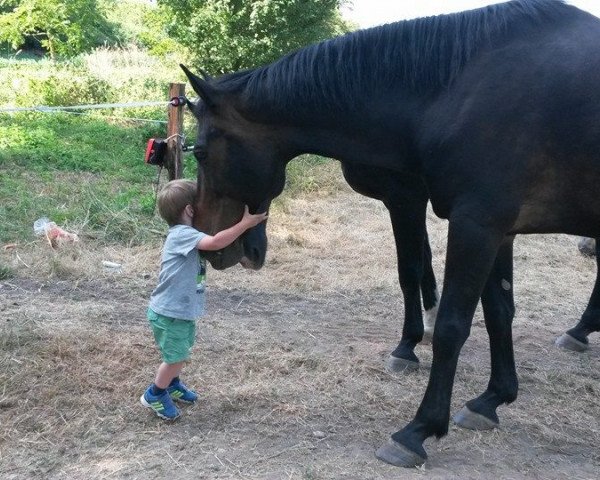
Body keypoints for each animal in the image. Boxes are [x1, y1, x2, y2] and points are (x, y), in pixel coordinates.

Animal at [183, 0, 600, 466]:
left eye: (201, 152)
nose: (215, 248)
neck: (454, 93)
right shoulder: (497, 230)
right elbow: (497, 311)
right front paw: (492, 399)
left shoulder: (464, 219)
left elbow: (446, 316)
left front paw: (418, 426)